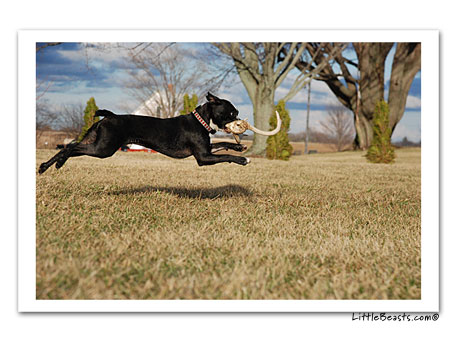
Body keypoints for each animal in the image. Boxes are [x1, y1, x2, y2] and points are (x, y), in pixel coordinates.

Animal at [37, 92, 249, 175]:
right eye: (232, 113)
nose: (240, 118)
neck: (201, 120)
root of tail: (110, 116)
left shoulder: (206, 150)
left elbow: (224, 146)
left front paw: (239, 147)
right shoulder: (203, 157)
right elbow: (226, 156)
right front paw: (243, 159)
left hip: (95, 141)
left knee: (70, 146)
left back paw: (47, 166)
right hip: (103, 148)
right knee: (71, 147)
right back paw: (56, 164)